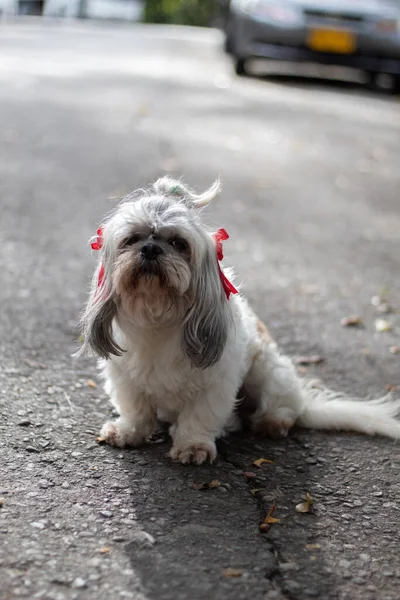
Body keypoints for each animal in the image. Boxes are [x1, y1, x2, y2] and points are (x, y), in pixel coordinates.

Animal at [79, 176, 400, 466]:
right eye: (132, 239)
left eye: (178, 243)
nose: (150, 249)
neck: (158, 313)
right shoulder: (125, 376)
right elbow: (136, 409)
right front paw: (128, 432)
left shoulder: (215, 381)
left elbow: (200, 415)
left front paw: (193, 446)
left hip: (267, 372)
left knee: (286, 406)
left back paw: (270, 422)